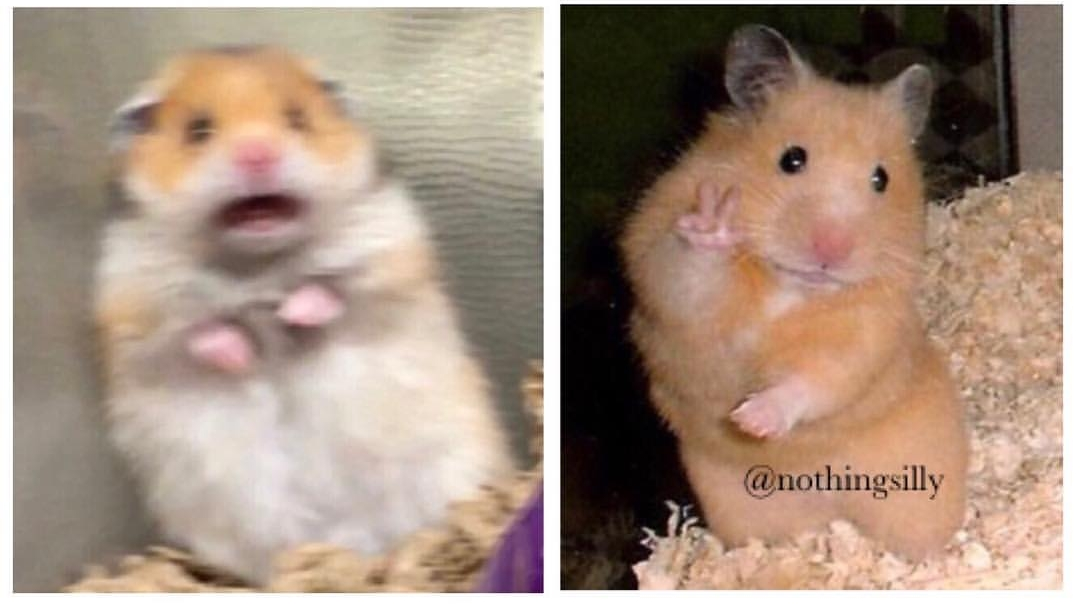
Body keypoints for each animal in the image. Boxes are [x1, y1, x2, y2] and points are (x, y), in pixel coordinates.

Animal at [96, 46, 511, 584]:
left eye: (298, 120)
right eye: (198, 130)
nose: (258, 155)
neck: (259, 263)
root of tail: (351, 542)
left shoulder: (392, 261)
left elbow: (332, 292)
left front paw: (292, 313)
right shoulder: (134, 314)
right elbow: (199, 332)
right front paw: (243, 355)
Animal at [620, 25, 968, 559]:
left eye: (881, 179)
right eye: (792, 159)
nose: (832, 250)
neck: (791, 288)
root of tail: (828, 508)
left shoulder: (868, 333)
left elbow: (818, 379)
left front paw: (752, 420)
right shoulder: (664, 275)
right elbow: (689, 274)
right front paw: (714, 222)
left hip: (920, 488)